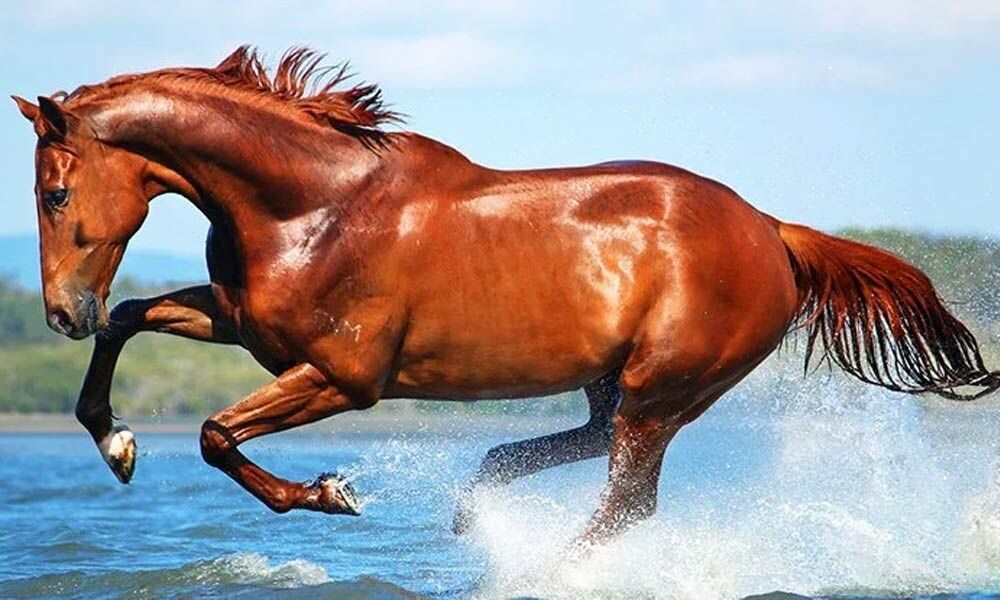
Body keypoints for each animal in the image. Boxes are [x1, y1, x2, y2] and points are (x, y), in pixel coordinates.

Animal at [12, 46, 999, 545]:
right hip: (623, 384)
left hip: (667, 387)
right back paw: (476, 498)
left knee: (627, 502)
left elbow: (216, 434)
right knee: (590, 450)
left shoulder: (343, 377)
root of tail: (775, 232)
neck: (315, 203)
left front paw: (332, 494)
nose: (60, 313)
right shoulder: (247, 327)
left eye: (54, 193)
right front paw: (117, 443)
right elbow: (132, 321)